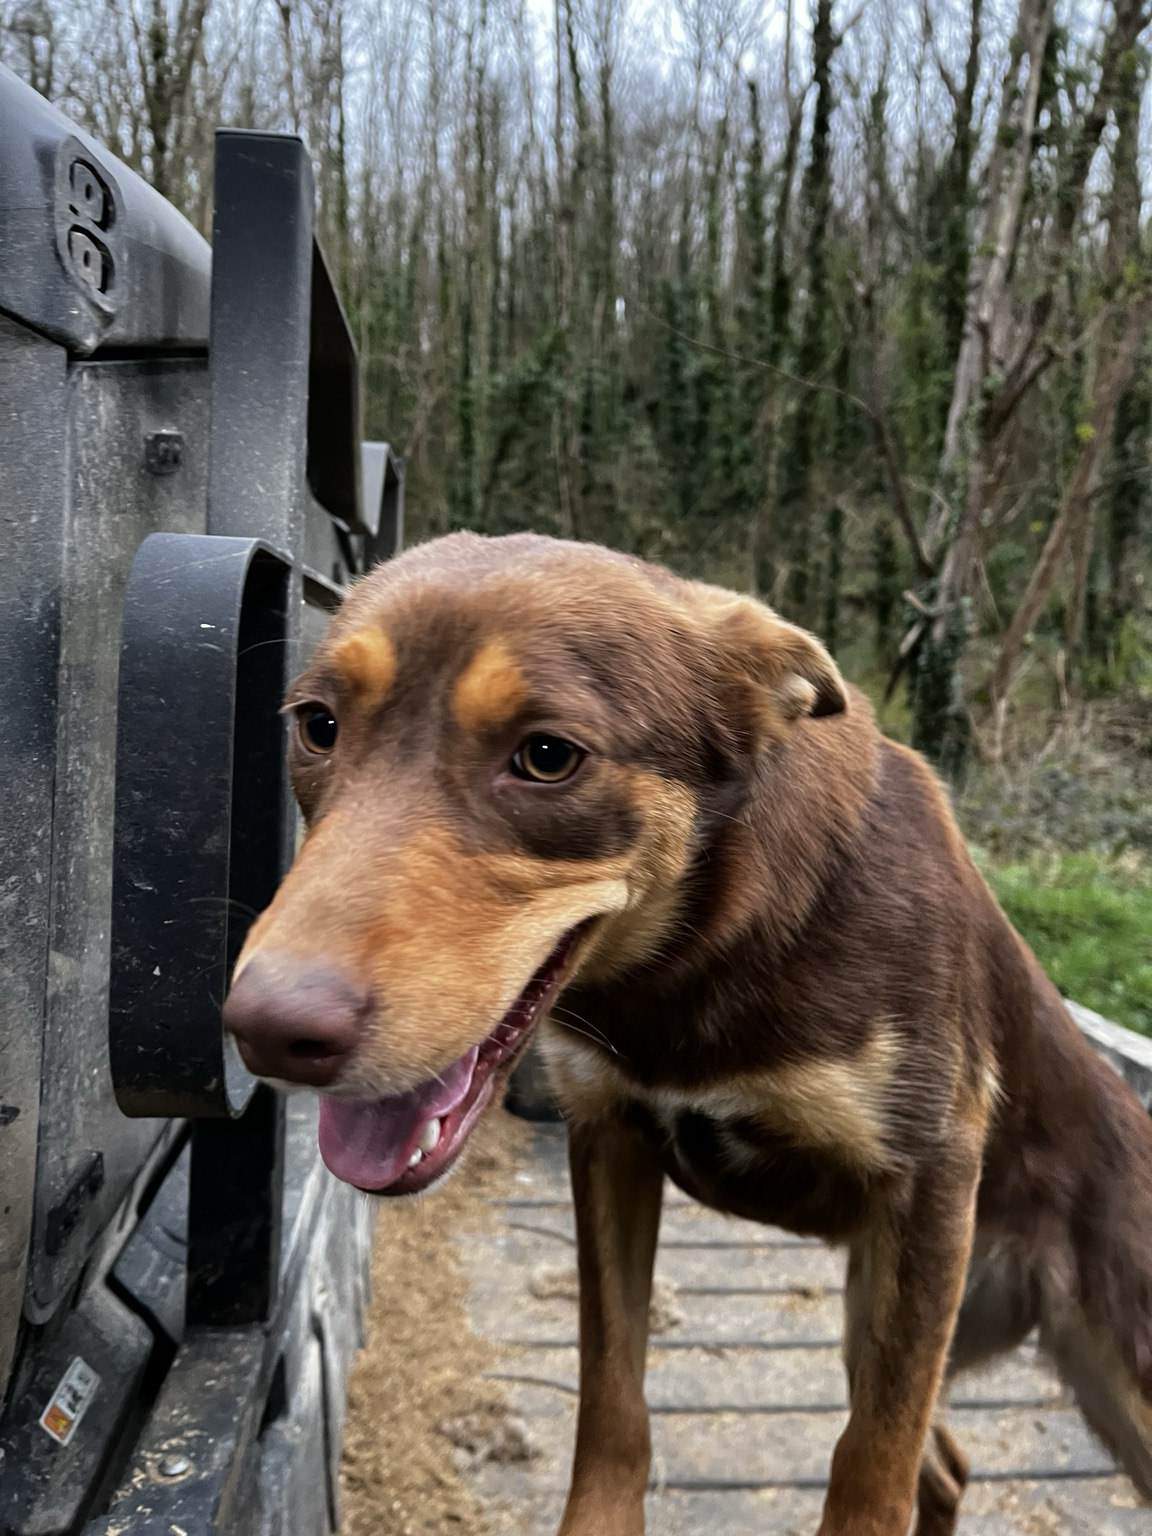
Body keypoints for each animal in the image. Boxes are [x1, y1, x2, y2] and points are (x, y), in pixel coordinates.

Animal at [222, 532, 1152, 1535]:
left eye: (546, 756)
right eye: (317, 725)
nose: (264, 1032)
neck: (699, 957)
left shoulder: (930, 1175)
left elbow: (870, 1467)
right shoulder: (611, 1143)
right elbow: (611, 1396)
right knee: (942, 1465)